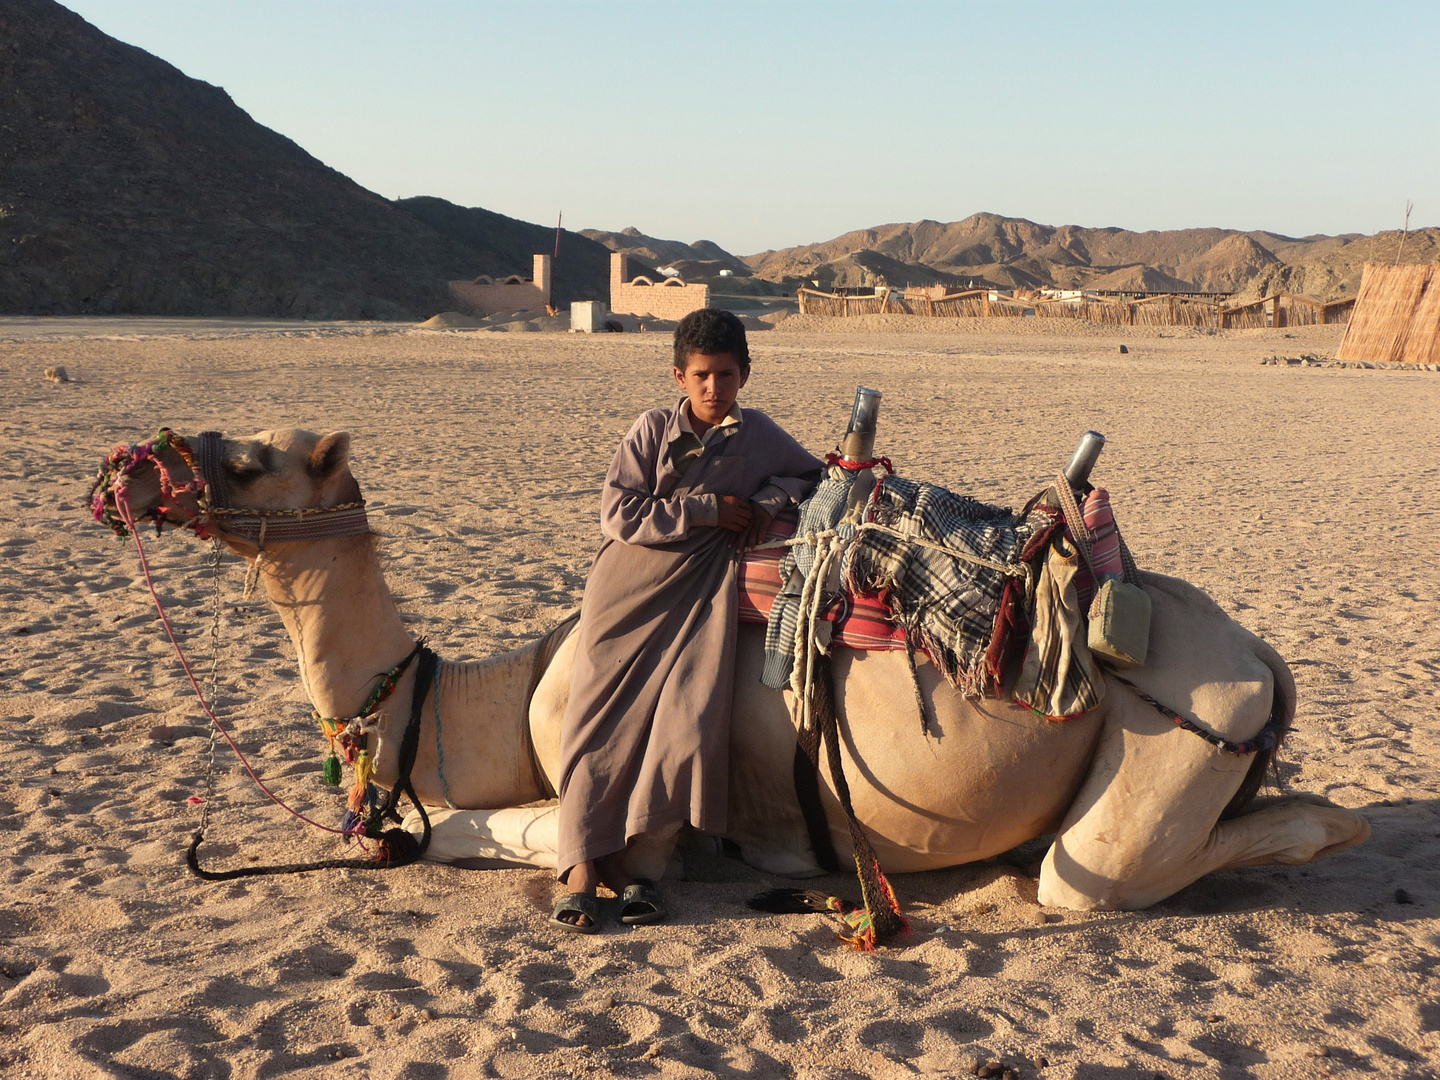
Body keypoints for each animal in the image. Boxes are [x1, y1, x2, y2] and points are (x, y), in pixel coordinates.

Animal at [106, 432, 1365, 915]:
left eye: (254, 459)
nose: (130, 471)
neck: (494, 699)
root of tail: (1255, 657)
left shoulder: (634, 810)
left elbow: (480, 830)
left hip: (1171, 737)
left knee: (1097, 873)